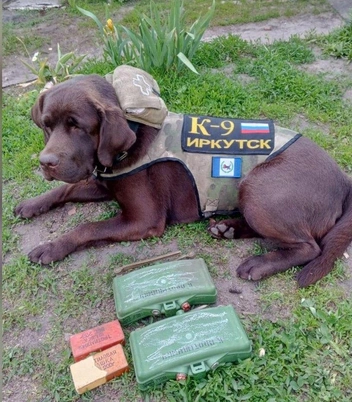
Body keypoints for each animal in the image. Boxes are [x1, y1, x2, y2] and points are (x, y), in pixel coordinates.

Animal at [15, 72, 352, 286]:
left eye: (78, 127)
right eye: (47, 125)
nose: (46, 162)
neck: (133, 130)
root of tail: (344, 180)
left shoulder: (144, 220)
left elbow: (87, 227)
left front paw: (51, 247)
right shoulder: (102, 181)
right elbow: (65, 190)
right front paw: (31, 204)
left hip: (258, 188)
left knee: (309, 247)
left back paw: (259, 263)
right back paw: (226, 228)